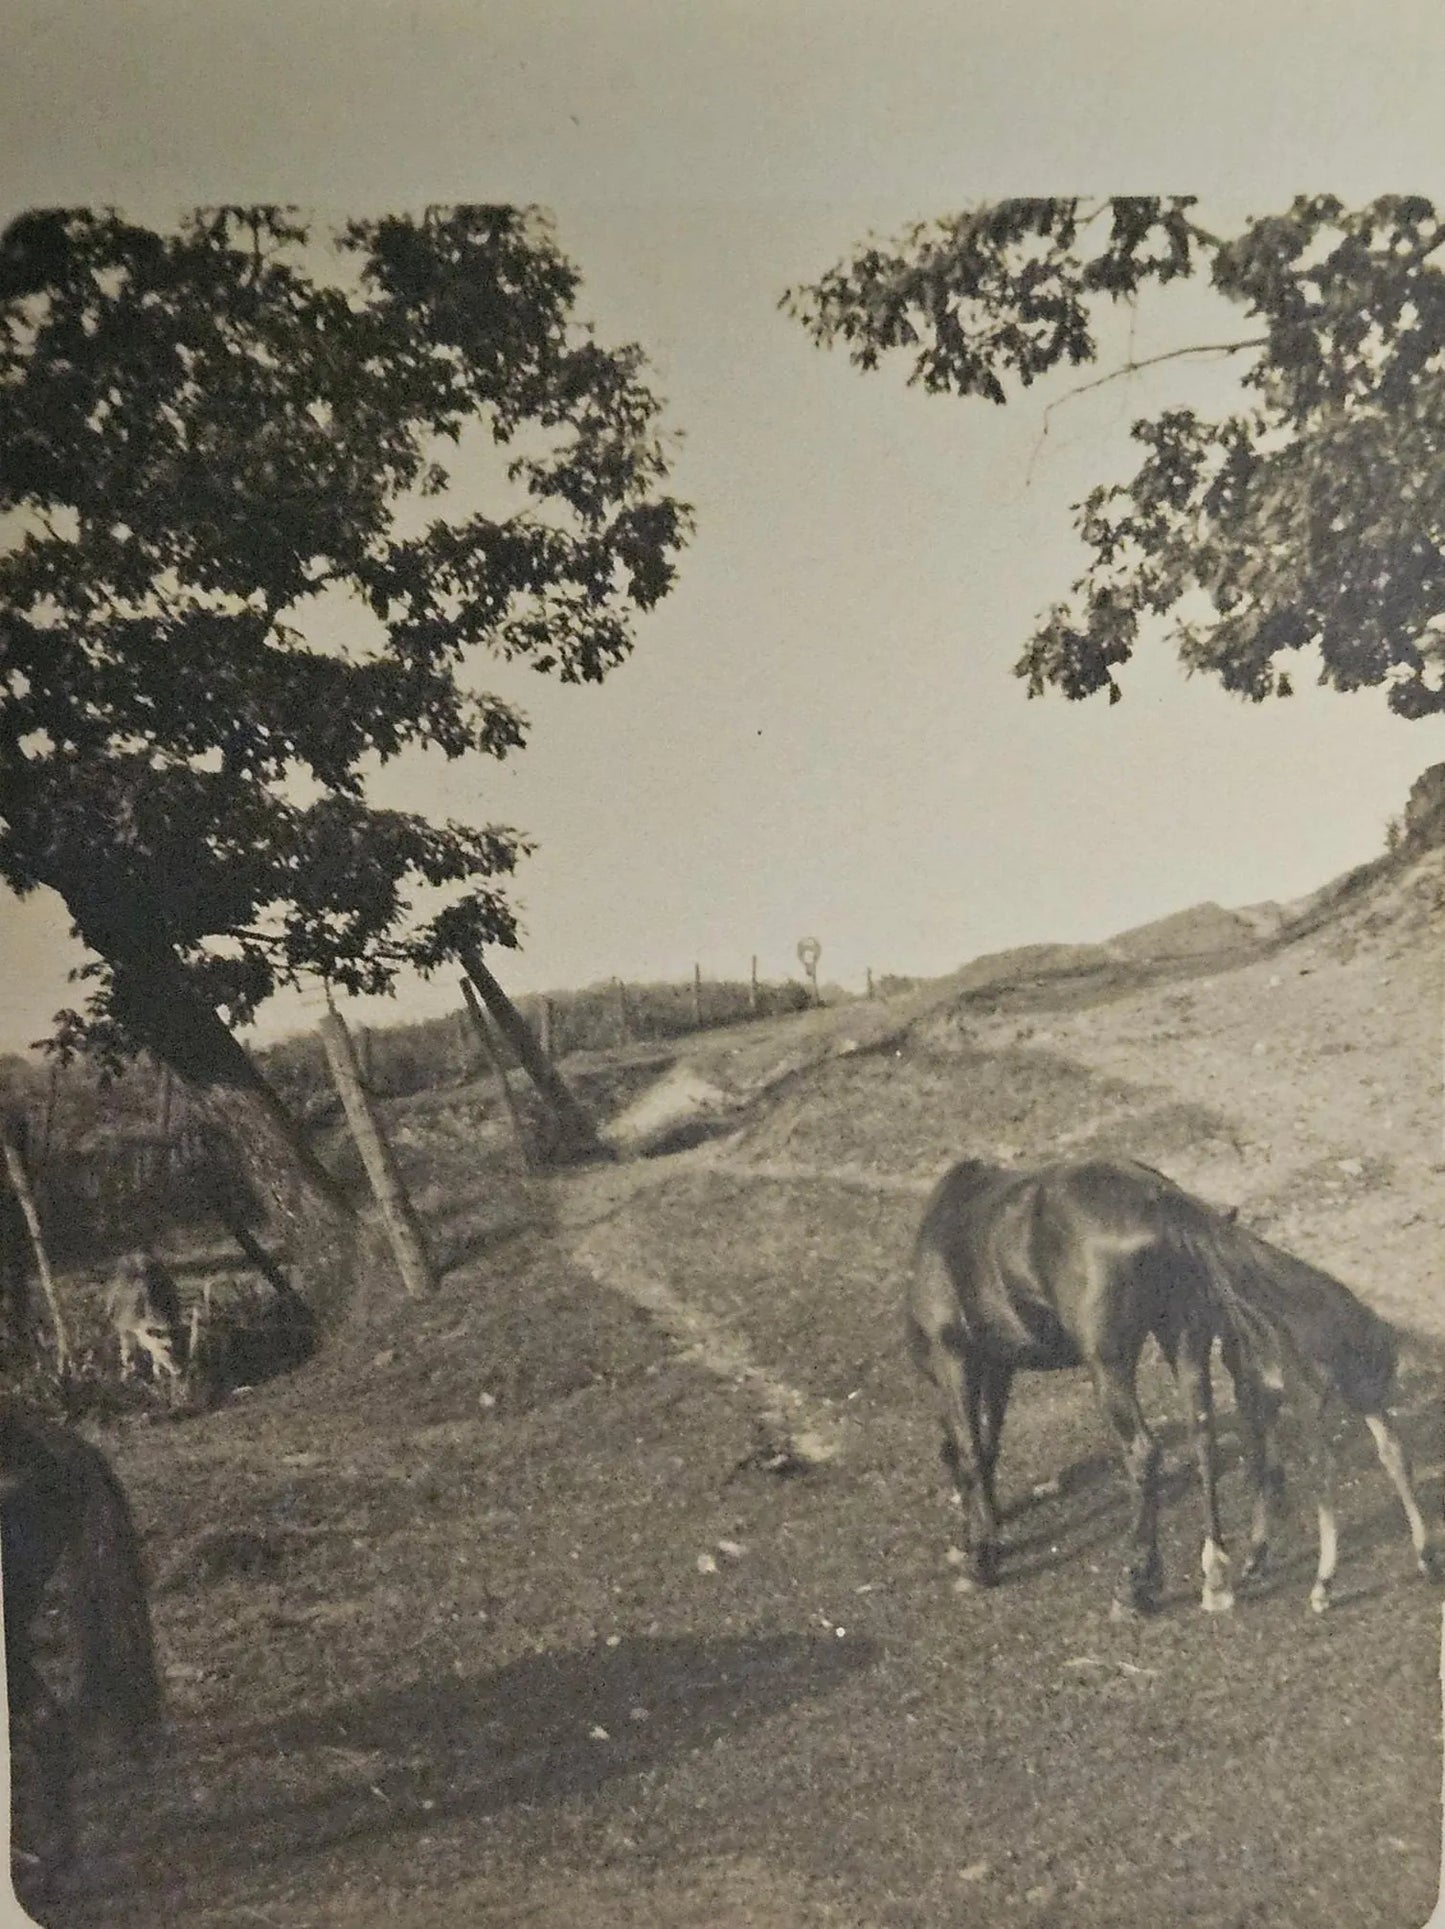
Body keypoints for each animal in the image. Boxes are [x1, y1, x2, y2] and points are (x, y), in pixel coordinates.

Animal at [905, 1156, 1441, 1618]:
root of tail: (1157, 1197)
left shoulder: (956, 1358)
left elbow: (971, 1451)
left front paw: (981, 1559)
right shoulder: (997, 1365)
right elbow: (987, 1445)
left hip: (1111, 1362)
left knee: (1145, 1452)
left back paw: (1136, 1585)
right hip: (1183, 1338)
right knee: (1205, 1435)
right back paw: (1218, 1575)